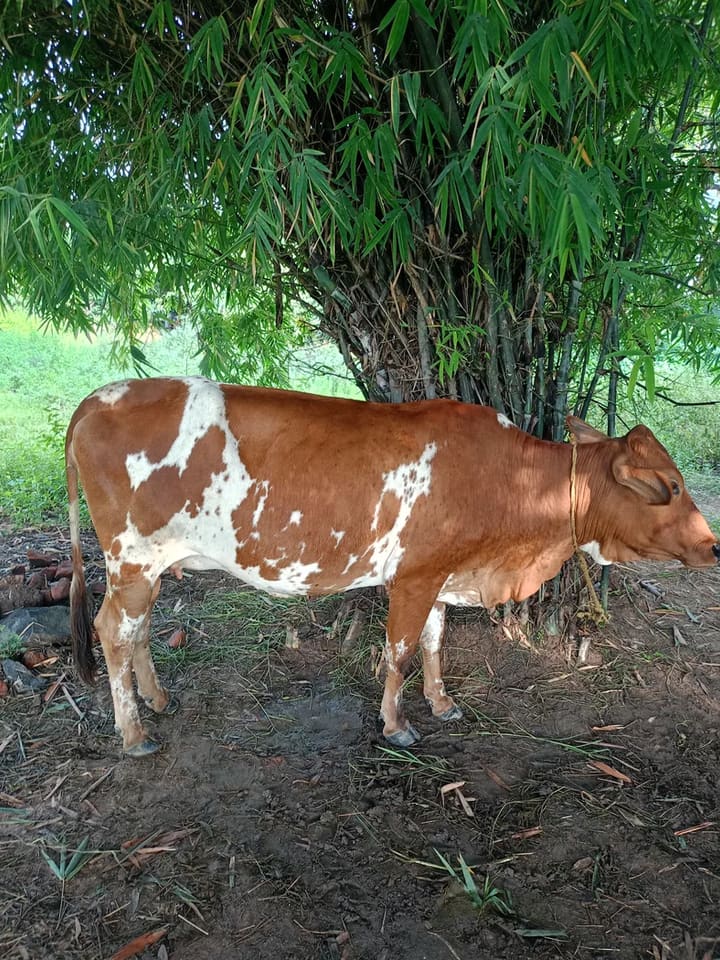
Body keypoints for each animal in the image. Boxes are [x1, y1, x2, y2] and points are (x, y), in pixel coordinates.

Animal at [66, 377, 719, 757]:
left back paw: (157, 700)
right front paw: (395, 723)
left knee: (137, 632)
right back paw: (133, 733)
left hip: (146, 570)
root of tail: (96, 398)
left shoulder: (439, 575)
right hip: (132, 560)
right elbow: (400, 650)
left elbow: (433, 642)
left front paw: (441, 702)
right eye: (671, 486)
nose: (714, 546)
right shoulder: (414, 577)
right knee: (111, 632)